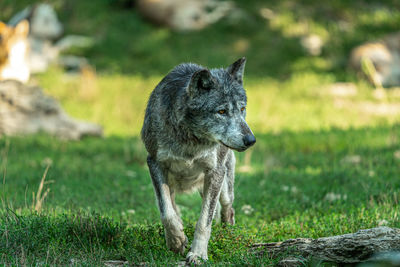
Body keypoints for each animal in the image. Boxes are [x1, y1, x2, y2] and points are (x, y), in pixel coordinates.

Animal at [141, 58, 256, 264]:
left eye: (242, 109)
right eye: (221, 111)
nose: (251, 140)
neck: (190, 141)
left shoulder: (215, 172)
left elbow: (204, 221)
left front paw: (198, 254)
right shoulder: (154, 163)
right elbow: (167, 212)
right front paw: (177, 241)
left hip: (224, 186)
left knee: (227, 209)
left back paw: (228, 235)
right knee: (175, 207)